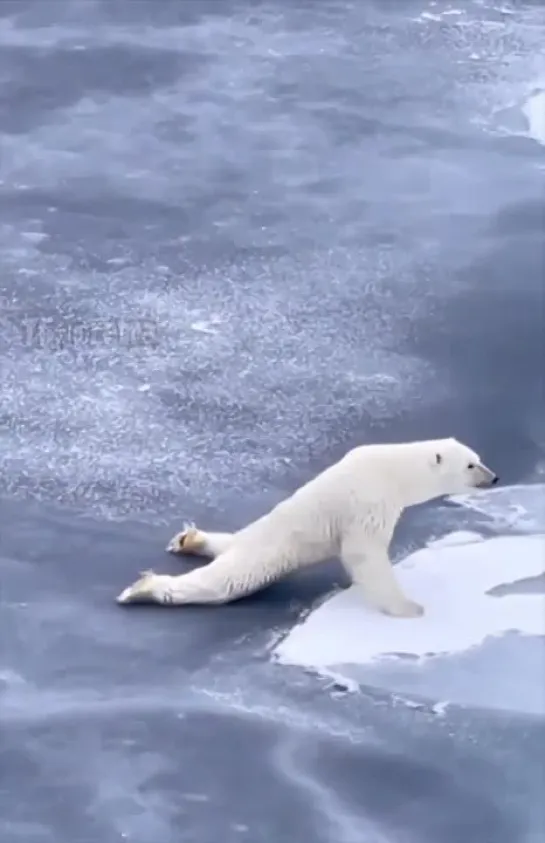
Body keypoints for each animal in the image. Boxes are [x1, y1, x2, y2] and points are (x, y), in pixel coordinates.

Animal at [116, 438, 498, 616]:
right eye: (470, 464)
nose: (494, 477)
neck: (392, 470)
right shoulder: (368, 500)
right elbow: (364, 554)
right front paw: (409, 608)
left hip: (248, 538)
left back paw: (190, 539)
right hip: (262, 555)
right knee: (222, 583)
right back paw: (142, 588)